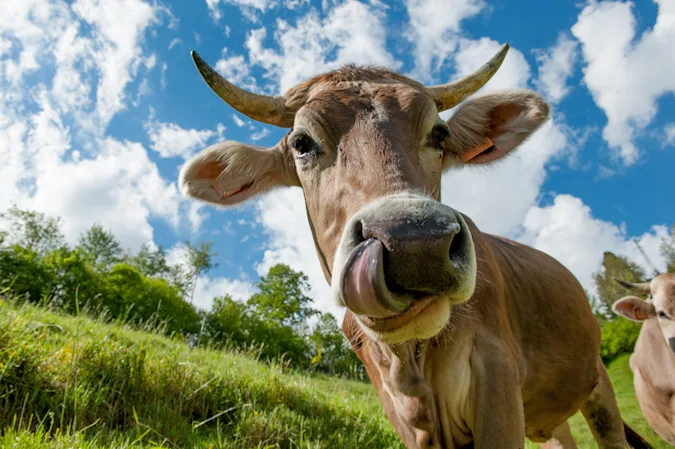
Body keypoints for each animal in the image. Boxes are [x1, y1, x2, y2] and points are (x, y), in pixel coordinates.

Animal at [179, 44, 652, 448]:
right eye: (301, 143)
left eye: (439, 135)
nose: (415, 244)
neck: (409, 364)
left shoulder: (497, 381)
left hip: (598, 385)